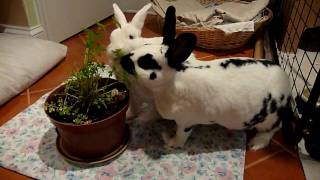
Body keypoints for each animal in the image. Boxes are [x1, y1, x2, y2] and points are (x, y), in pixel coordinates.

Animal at [119, 5, 296, 150]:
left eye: (146, 62)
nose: (122, 60)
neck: (173, 81)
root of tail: (287, 86)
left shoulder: (185, 122)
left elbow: (181, 137)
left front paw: (169, 142)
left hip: (269, 120)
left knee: (273, 130)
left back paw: (255, 144)